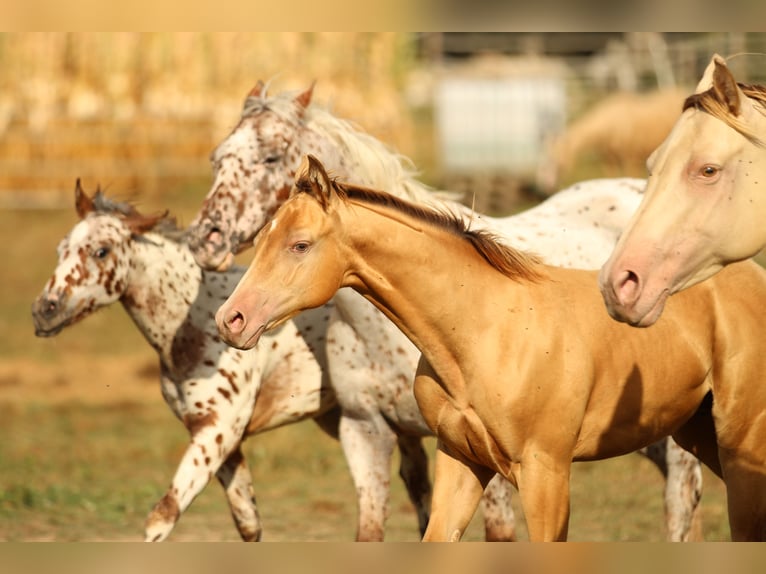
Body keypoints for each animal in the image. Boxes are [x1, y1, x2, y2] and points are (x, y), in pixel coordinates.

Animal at [31, 181, 438, 544]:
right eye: (62, 248)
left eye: (101, 251)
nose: (44, 310)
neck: (193, 322)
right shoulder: (221, 441)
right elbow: (248, 524)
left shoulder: (218, 429)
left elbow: (162, 518)